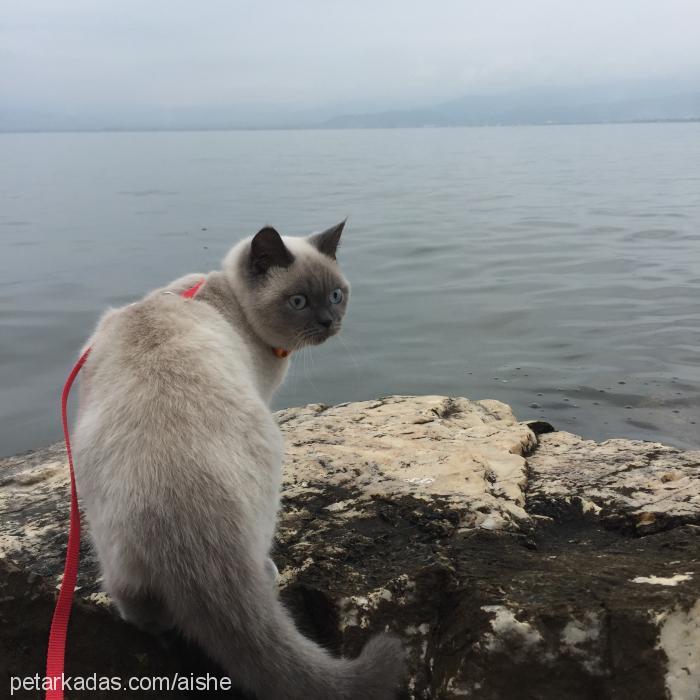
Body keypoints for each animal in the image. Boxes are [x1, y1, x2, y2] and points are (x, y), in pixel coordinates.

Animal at [72, 223, 404, 700]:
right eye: (299, 301)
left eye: (336, 295)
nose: (329, 322)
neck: (223, 298)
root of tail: (181, 514)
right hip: (268, 466)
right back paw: (267, 572)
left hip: (106, 533)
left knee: (136, 603)